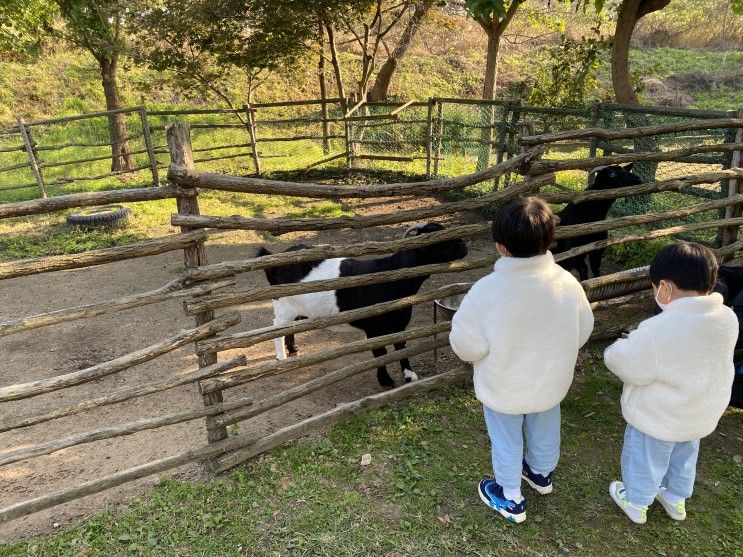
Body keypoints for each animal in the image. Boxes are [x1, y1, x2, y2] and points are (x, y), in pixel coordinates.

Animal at [256, 222, 464, 386]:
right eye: (438, 239)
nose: (464, 245)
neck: (392, 277)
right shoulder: (373, 327)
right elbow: (380, 352)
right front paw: (386, 381)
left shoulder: (399, 323)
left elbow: (401, 347)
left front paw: (409, 376)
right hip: (283, 305)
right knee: (277, 328)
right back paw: (281, 358)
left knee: (290, 328)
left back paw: (293, 350)